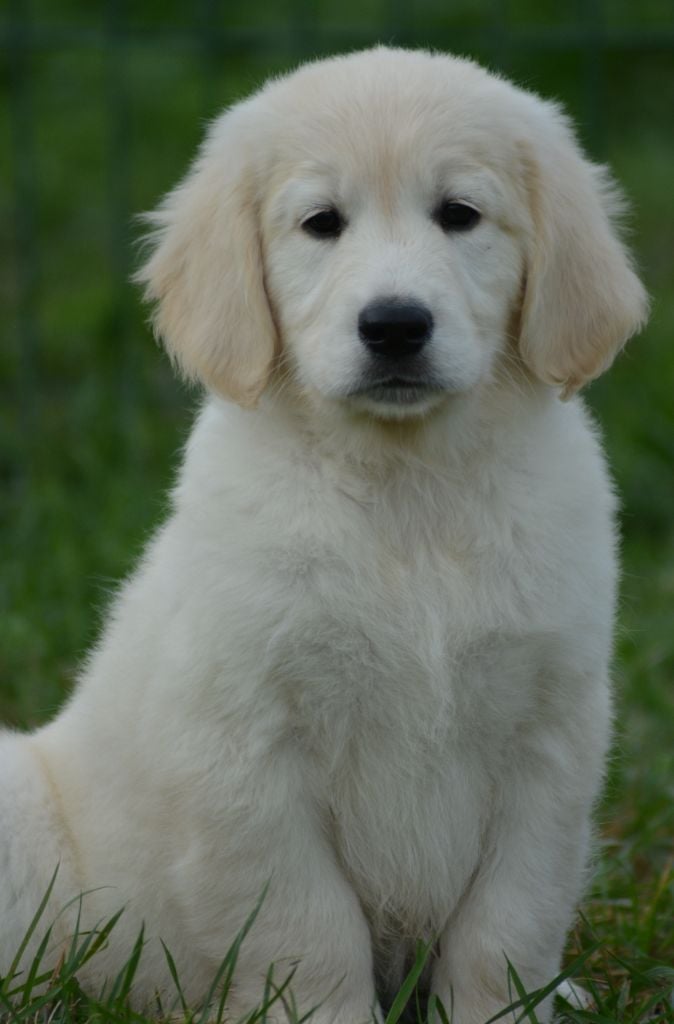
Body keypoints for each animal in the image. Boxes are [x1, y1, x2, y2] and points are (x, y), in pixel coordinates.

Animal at [0, 44, 647, 1019]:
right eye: (320, 223)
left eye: (460, 214)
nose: (395, 324)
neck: (407, 493)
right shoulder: (251, 747)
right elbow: (308, 927)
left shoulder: (549, 732)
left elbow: (510, 919)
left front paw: (504, 1008)